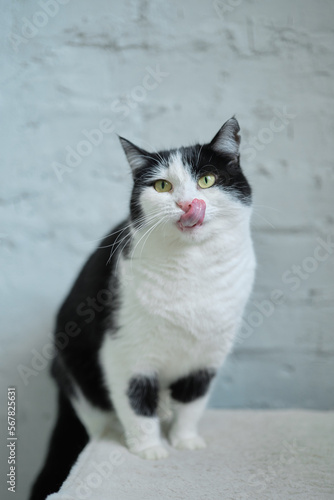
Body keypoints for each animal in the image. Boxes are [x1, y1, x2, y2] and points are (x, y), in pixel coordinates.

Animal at [30, 118, 256, 500]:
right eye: (162, 186)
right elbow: (135, 400)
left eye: (207, 179)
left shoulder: (208, 355)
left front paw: (186, 441)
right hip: (76, 377)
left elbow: (193, 401)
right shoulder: (123, 350)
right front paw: (149, 449)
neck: (193, 269)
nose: (187, 204)